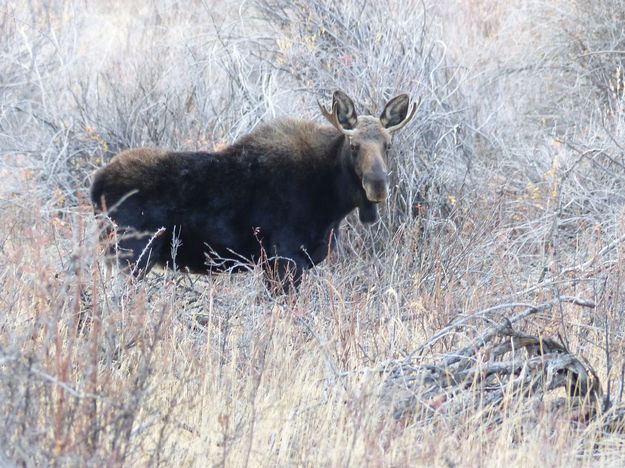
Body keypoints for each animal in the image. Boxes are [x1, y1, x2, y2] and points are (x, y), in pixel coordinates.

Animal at [90, 90, 416, 292]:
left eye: (388, 145)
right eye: (354, 145)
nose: (377, 185)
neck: (332, 203)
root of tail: (96, 185)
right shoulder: (284, 259)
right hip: (131, 255)